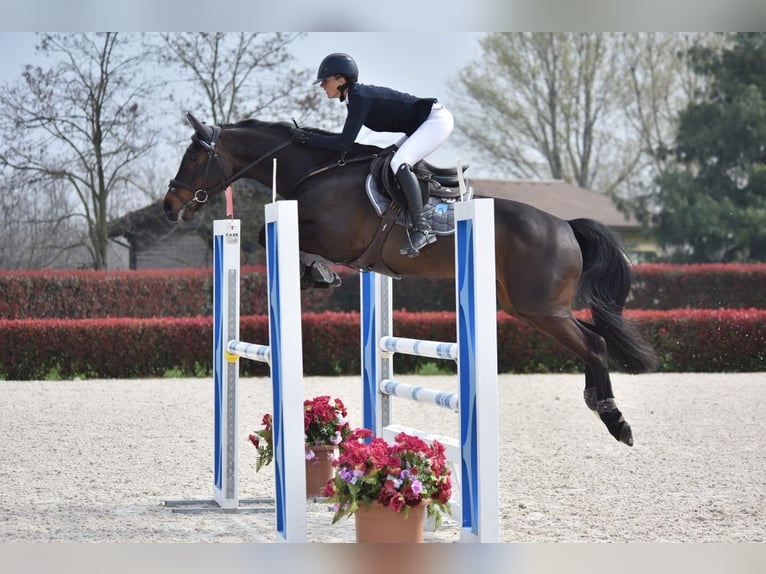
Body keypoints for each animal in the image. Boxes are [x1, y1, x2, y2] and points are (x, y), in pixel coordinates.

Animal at [162, 111, 660, 446]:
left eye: (193, 156)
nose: (169, 207)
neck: (315, 171)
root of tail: (565, 227)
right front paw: (316, 275)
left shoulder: (334, 235)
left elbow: (273, 241)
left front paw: (317, 274)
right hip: (528, 307)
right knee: (593, 338)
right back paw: (599, 403)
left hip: (541, 308)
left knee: (595, 343)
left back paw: (616, 421)